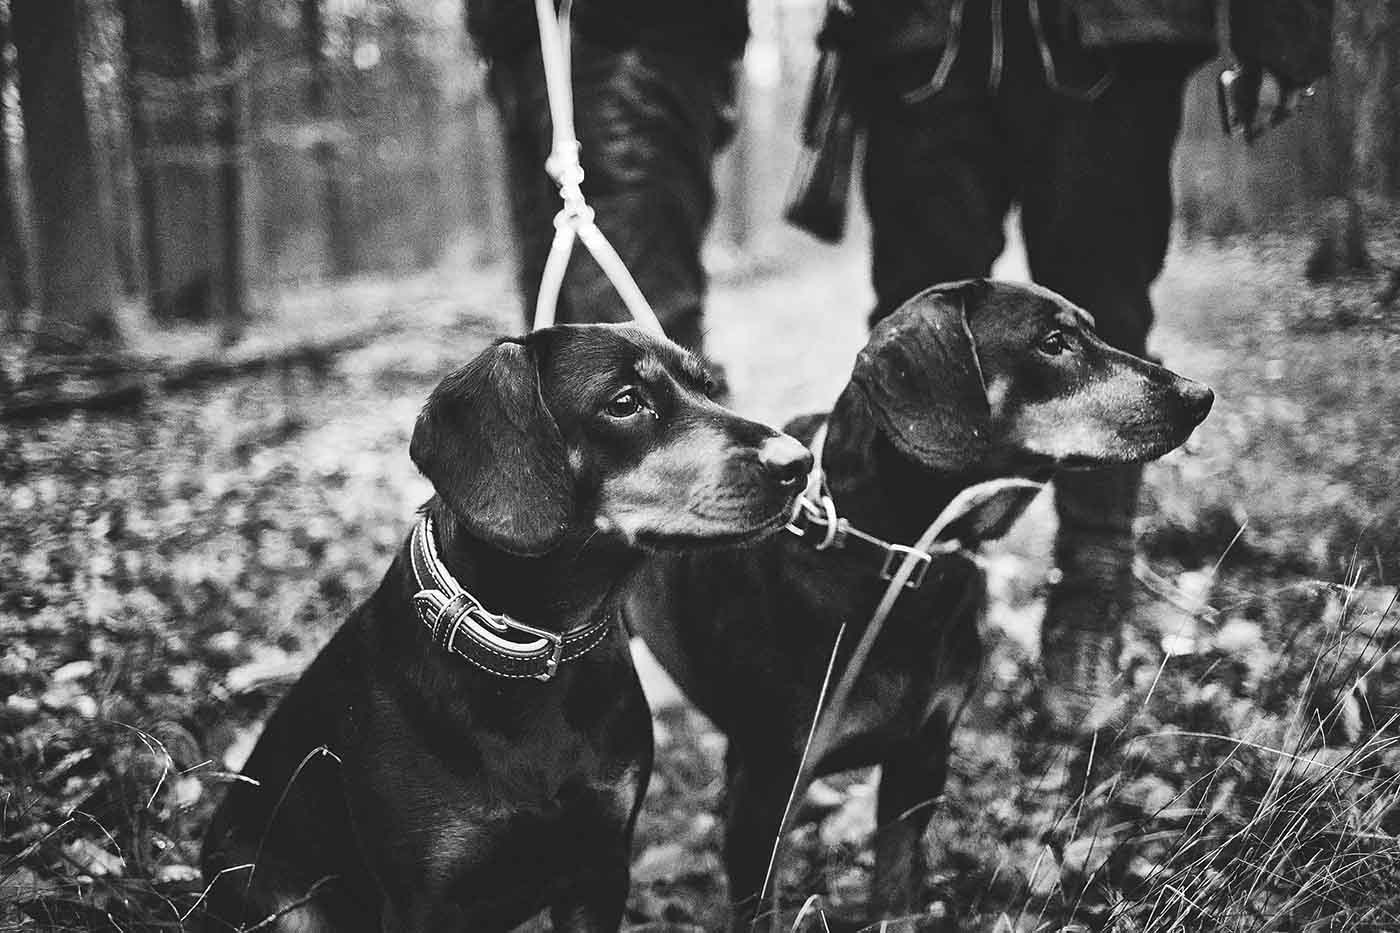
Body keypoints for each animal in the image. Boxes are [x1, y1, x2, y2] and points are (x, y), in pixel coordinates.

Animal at [197, 322, 812, 930]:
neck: (531, 653)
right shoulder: (423, 901)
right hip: (281, 900)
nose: (799, 462)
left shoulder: (600, 867)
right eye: (625, 402)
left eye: (708, 388)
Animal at [627, 280, 1215, 924]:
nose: (1200, 395)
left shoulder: (922, 756)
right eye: (1053, 342)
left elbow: (896, 884)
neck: (887, 558)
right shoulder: (766, 785)